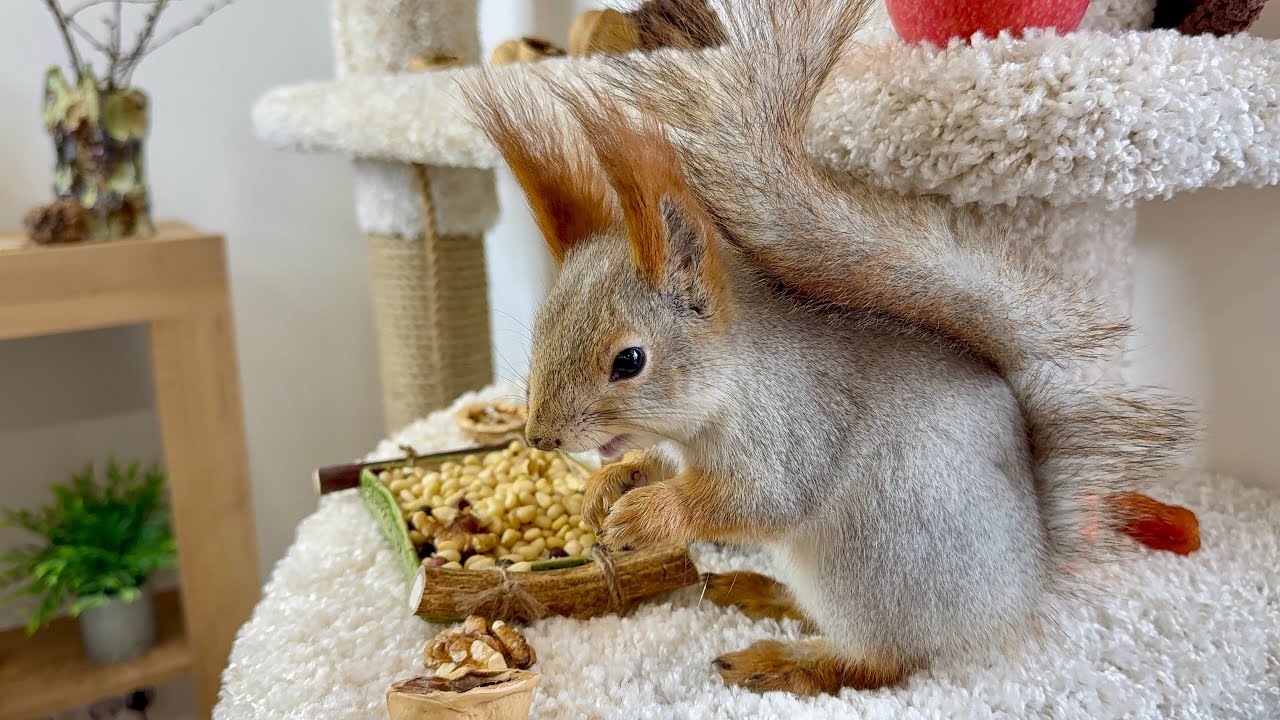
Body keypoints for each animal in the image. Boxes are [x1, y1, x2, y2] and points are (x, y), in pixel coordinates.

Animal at [464, 0, 1196, 696]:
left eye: (629, 361)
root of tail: (1023, 591)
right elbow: (658, 466)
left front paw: (648, 515)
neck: (728, 386)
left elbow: (756, 500)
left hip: (872, 559)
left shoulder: (791, 429)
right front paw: (610, 486)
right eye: (543, 325)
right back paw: (761, 592)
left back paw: (787, 663)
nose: (540, 437)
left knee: (882, 661)